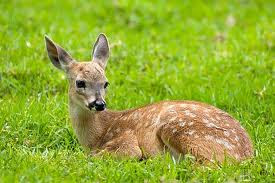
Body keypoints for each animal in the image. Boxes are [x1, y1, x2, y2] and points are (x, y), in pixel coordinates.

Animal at [44, 33, 253, 162]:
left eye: (105, 83)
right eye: (80, 83)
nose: (99, 104)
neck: (97, 135)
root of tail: (246, 155)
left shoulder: (126, 143)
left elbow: (104, 155)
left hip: (178, 129)